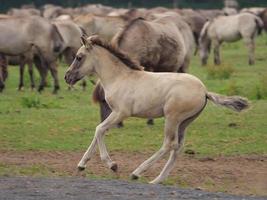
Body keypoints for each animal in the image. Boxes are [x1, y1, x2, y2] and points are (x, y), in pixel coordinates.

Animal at [65, 36, 249, 184]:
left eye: (79, 57)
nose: (67, 77)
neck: (120, 77)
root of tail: (204, 91)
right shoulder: (113, 114)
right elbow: (99, 132)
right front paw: (81, 165)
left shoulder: (121, 113)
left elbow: (99, 129)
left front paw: (112, 165)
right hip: (184, 122)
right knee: (177, 148)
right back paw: (157, 180)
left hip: (172, 118)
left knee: (169, 144)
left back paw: (137, 173)